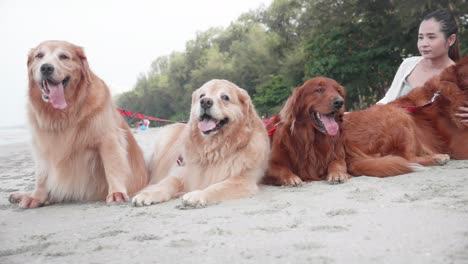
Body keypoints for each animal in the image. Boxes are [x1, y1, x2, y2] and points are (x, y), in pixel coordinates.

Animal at [9, 39, 148, 208]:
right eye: (39, 56)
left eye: (64, 56)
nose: (46, 67)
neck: (65, 113)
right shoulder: (42, 144)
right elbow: (41, 174)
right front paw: (36, 196)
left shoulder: (108, 138)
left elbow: (112, 166)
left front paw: (116, 192)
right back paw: (21, 195)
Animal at [132, 79, 270, 207]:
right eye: (202, 95)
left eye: (225, 97)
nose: (205, 102)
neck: (213, 149)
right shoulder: (181, 172)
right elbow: (166, 184)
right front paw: (147, 194)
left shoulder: (244, 180)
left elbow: (216, 187)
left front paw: (198, 195)